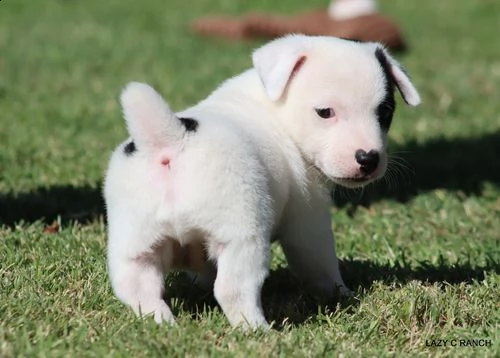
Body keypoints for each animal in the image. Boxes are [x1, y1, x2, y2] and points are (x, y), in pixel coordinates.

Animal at [103, 35, 420, 328]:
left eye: (386, 112)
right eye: (325, 112)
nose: (368, 158)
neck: (276, 109)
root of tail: (171, 139)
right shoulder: (307, 219)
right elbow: (319, 264)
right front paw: (342, 294)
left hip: (135, 243)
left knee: (138, 287)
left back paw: (160, 321)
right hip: (243, 238)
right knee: (232, 290)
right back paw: (258, 330)